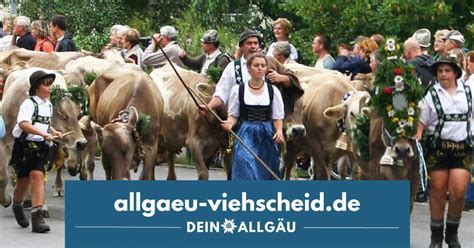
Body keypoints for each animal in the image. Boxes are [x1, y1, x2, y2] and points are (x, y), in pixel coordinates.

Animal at [0, 67, 87, 207]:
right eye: (62, 115)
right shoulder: (5, 143)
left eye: (77, 113)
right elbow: (3, 176)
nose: (82, 143)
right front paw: (7, 200)